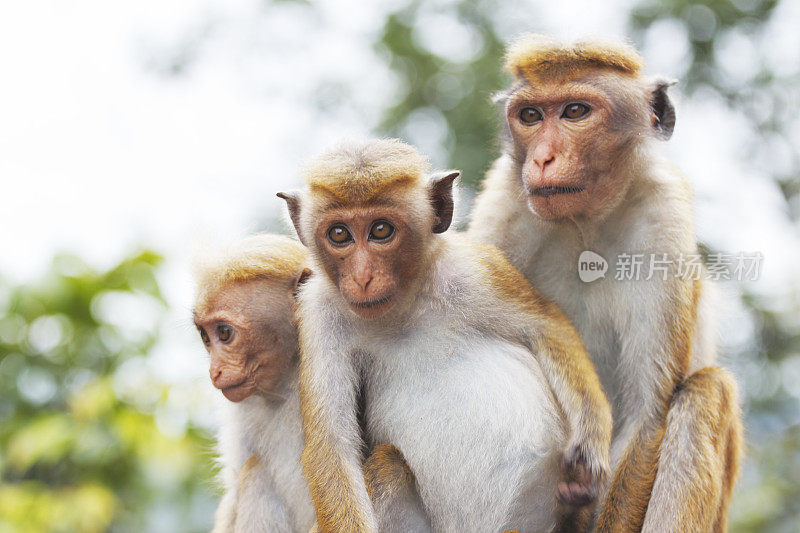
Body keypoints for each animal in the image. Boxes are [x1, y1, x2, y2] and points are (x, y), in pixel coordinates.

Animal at [278, 138, 608, 532]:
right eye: (339, 234)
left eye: (381, 230)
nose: (362, 277)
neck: (402, 309)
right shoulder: (319, 315)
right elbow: (333, 445)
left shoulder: (474, 269)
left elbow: (548, 327)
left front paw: (590, 443)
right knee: (388, 465)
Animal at [468, 34, 744, 532]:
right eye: (530, 116)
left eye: (575, 111)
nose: (542, 158)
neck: (585, 224)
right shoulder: (504, 205)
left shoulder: (663, 219)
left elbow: (645, 415)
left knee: (705, 391)